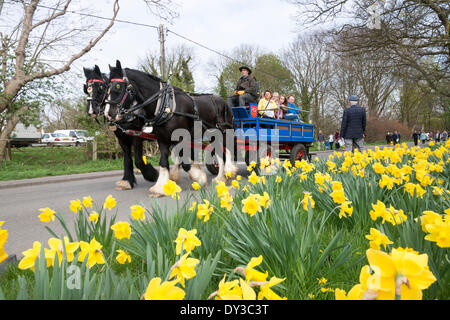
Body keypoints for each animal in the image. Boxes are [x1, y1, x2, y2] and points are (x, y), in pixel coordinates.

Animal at [104, 58, 237, 196]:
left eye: (118, 86)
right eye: (107, 87)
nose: (109, 114)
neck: (166, 105)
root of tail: (223, 101)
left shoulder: (180, 138)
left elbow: (185, 163)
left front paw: (200, 178)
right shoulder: (162, 139)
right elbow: (163, 162)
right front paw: (160, 187)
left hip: (223, 131)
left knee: (227, 150)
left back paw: (228, 172)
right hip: (211, 134)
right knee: (219, 153)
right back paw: (220, 178)